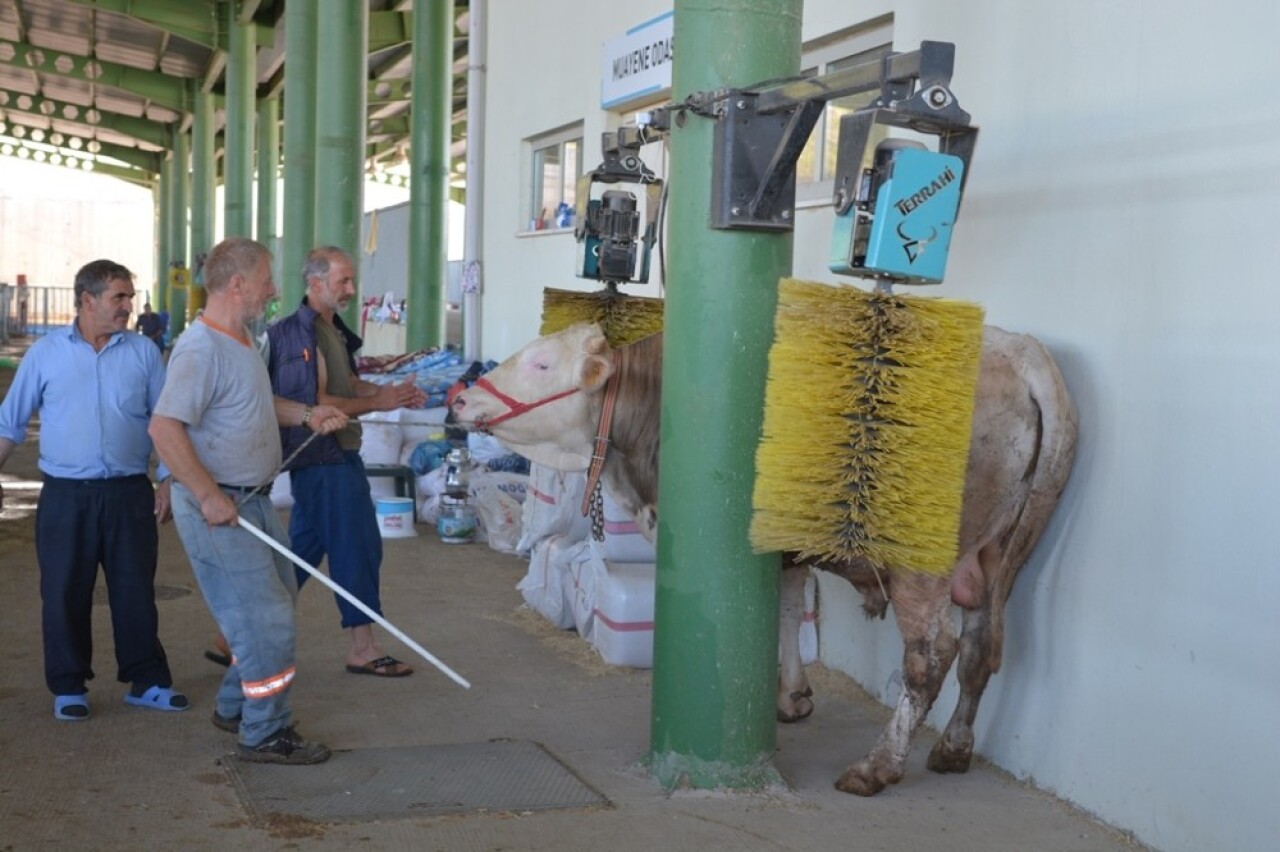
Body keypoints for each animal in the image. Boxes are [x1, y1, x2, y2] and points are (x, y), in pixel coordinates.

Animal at [450, 322, 1080, 793]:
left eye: (540, 364)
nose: (461, 398)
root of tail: (1022, 353)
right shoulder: (787, 543)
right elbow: (787, 606)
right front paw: (793, 697)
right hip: (1001, 557)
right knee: (981, 648)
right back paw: (952, 747)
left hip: (920, 563)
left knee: (932, 657)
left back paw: (878, 766)